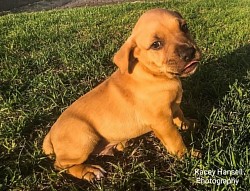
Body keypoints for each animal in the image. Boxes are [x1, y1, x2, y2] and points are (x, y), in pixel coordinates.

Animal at [43, 8, 202, 181]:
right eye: (156, 45)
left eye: (184, 27)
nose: (189, 52)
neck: (153, 73)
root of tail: (50, 134)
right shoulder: (161, 121)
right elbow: (175, 139)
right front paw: (188, 156)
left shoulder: (173, 106)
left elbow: (180, 114)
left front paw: (189, 124)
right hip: (84, 137)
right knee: (61, 165)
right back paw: (89, 171)